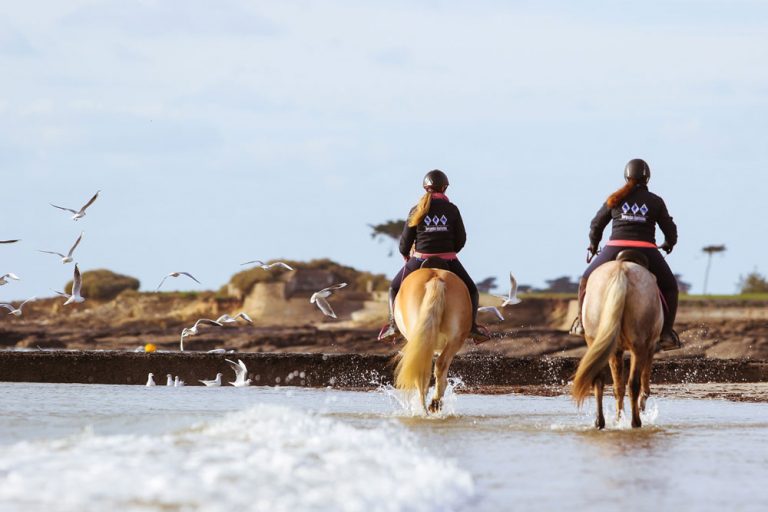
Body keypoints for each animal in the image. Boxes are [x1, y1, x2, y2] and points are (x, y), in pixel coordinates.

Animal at [572, 252, 664, 428]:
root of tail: (621, 270)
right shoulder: (650, 346)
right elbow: (643, 382)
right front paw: (639, 407)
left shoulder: (617, 350)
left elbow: (618, 387)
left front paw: (618, 417)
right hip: (639, 345)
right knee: (634, 383)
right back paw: (636, 422)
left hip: (596, 340)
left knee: (598, 379)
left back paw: (600, 422)